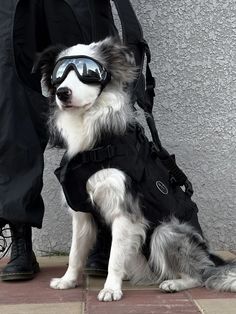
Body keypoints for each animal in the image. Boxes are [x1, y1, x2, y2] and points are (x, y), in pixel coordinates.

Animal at [35, 37, 236, 302]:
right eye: (59, 76)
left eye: (89, 73)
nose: (62, 92)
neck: (96, 144)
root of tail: (210, 257)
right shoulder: (82, 213)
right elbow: (75, 252)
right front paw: (68, 281)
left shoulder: (125, 212)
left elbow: (114, 257)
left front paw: (111, 289)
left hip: (165, 230)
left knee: (198, 275)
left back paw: (174, 283)